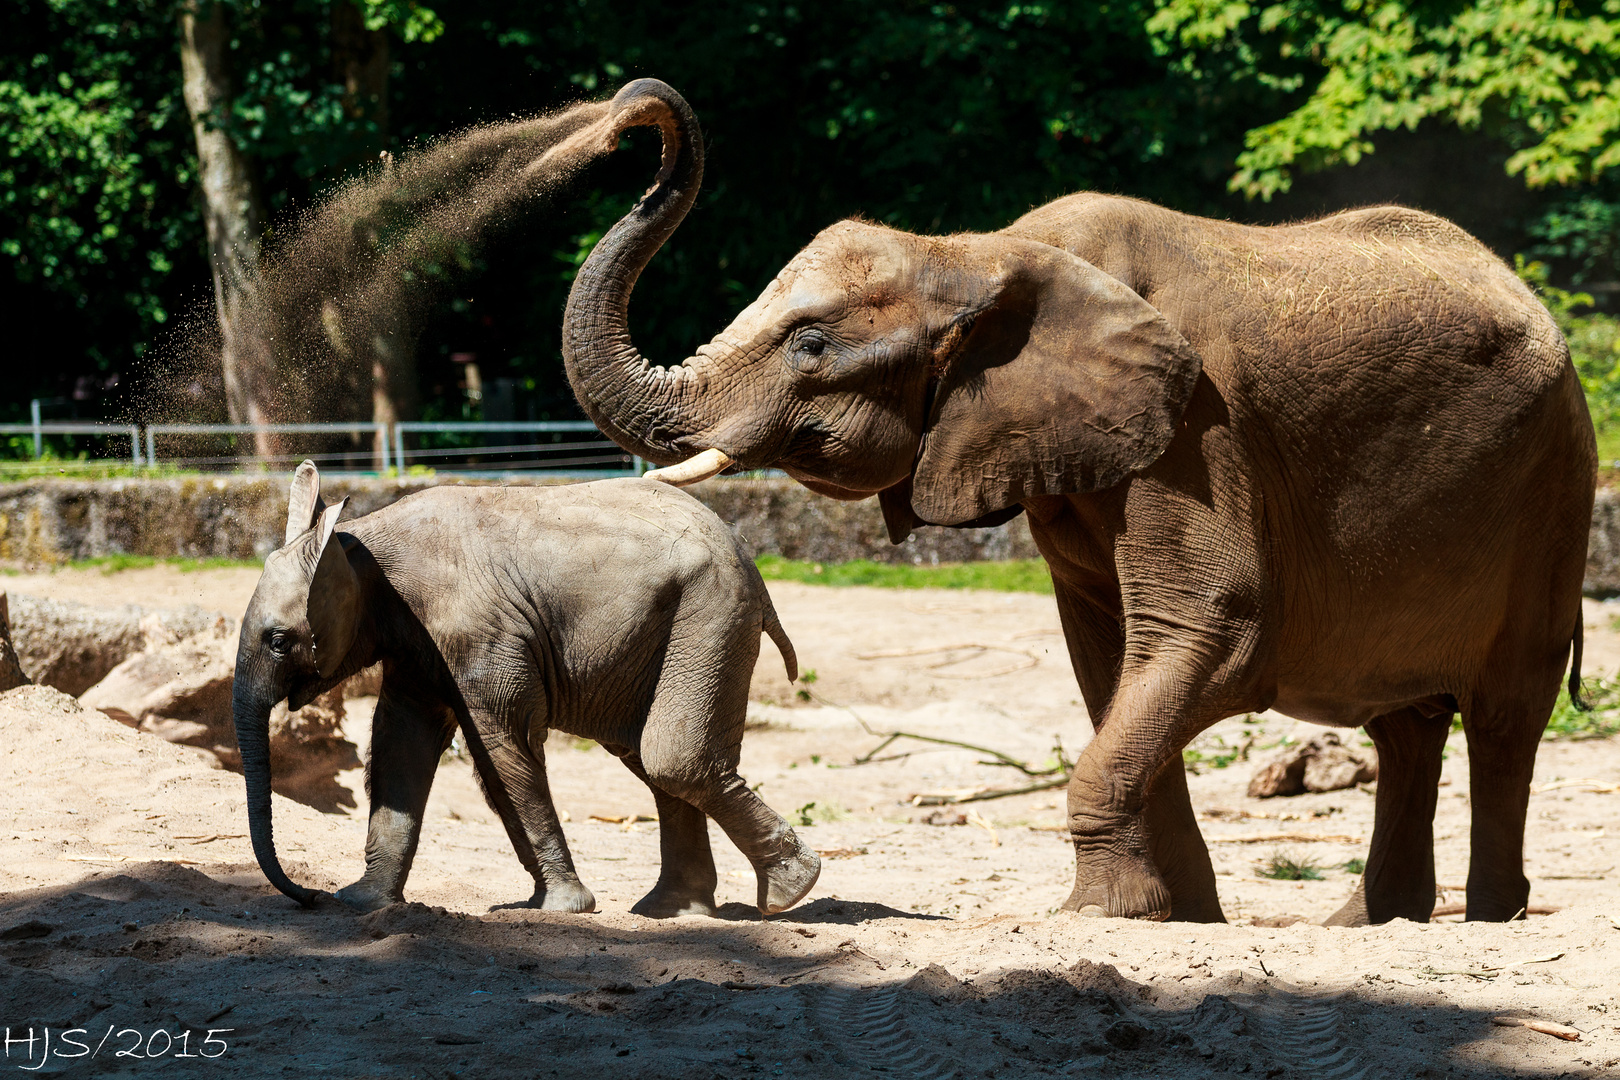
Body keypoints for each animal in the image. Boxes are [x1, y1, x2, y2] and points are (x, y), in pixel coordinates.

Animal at [234, 466, 816, 919]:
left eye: (279, 642)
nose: (309, 896)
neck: (359, 540)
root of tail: (742, 548)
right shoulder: (418, 643)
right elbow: (402, 742)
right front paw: (362, 903)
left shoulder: (477, 633)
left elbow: (503, 749)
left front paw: (562, 908)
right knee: (649, 758)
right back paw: (676, 911)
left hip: (710, 615)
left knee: (672, 758)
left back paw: (788, 893)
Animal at [560, 78, 1594, 932]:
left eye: (810, 345)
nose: (630, 115)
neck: (981, 250)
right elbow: (1110, 659)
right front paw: (1163, 918)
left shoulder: (1199, 424)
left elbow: (1209, 625)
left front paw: (1105, 916)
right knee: (1407, 729)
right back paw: (1370, 926)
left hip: (1555, 487)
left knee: (1506, 717)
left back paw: (1489, 918)